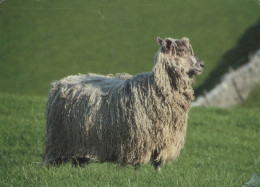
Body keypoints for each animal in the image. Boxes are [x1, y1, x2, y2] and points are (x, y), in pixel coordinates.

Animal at [43, 37, 205, 171]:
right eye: (183, 51)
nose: (202, 64)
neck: (153, 88)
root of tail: (59, 82)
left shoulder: (165, 138)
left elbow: (158, 162)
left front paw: (158, 175)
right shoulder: (140, 139)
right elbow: (138, 163)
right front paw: (138, 175)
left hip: (81, 140)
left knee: (78, 161)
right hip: (60, 139)